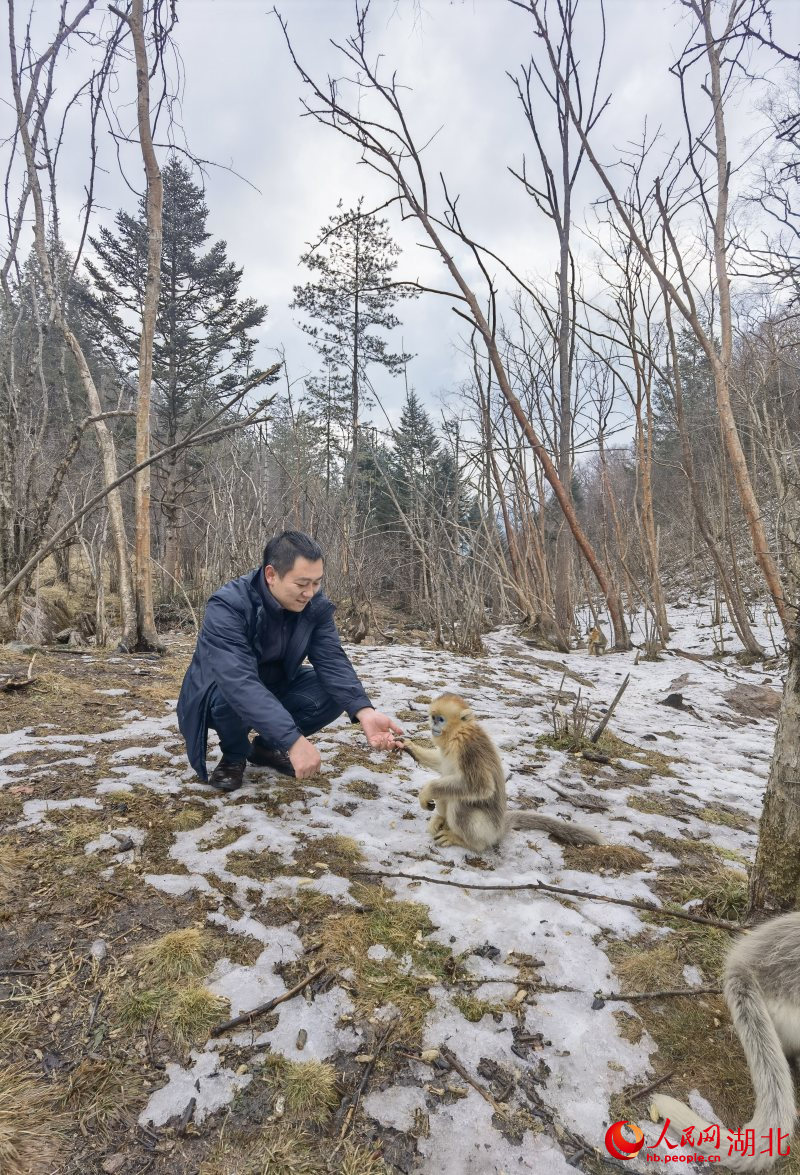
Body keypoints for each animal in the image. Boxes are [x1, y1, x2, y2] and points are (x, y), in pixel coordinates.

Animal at [399, 690, 599, 850]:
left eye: (441, 719)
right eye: (433, 718)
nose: (434, 726)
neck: (458, 734)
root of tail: (499, 827)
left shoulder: (469, 750)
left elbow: (481, 786)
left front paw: (426, 791)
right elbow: (441, 764)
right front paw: (410, 747)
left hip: (486, 829)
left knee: (459, 801)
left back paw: (465, 841)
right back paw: (441, 820)